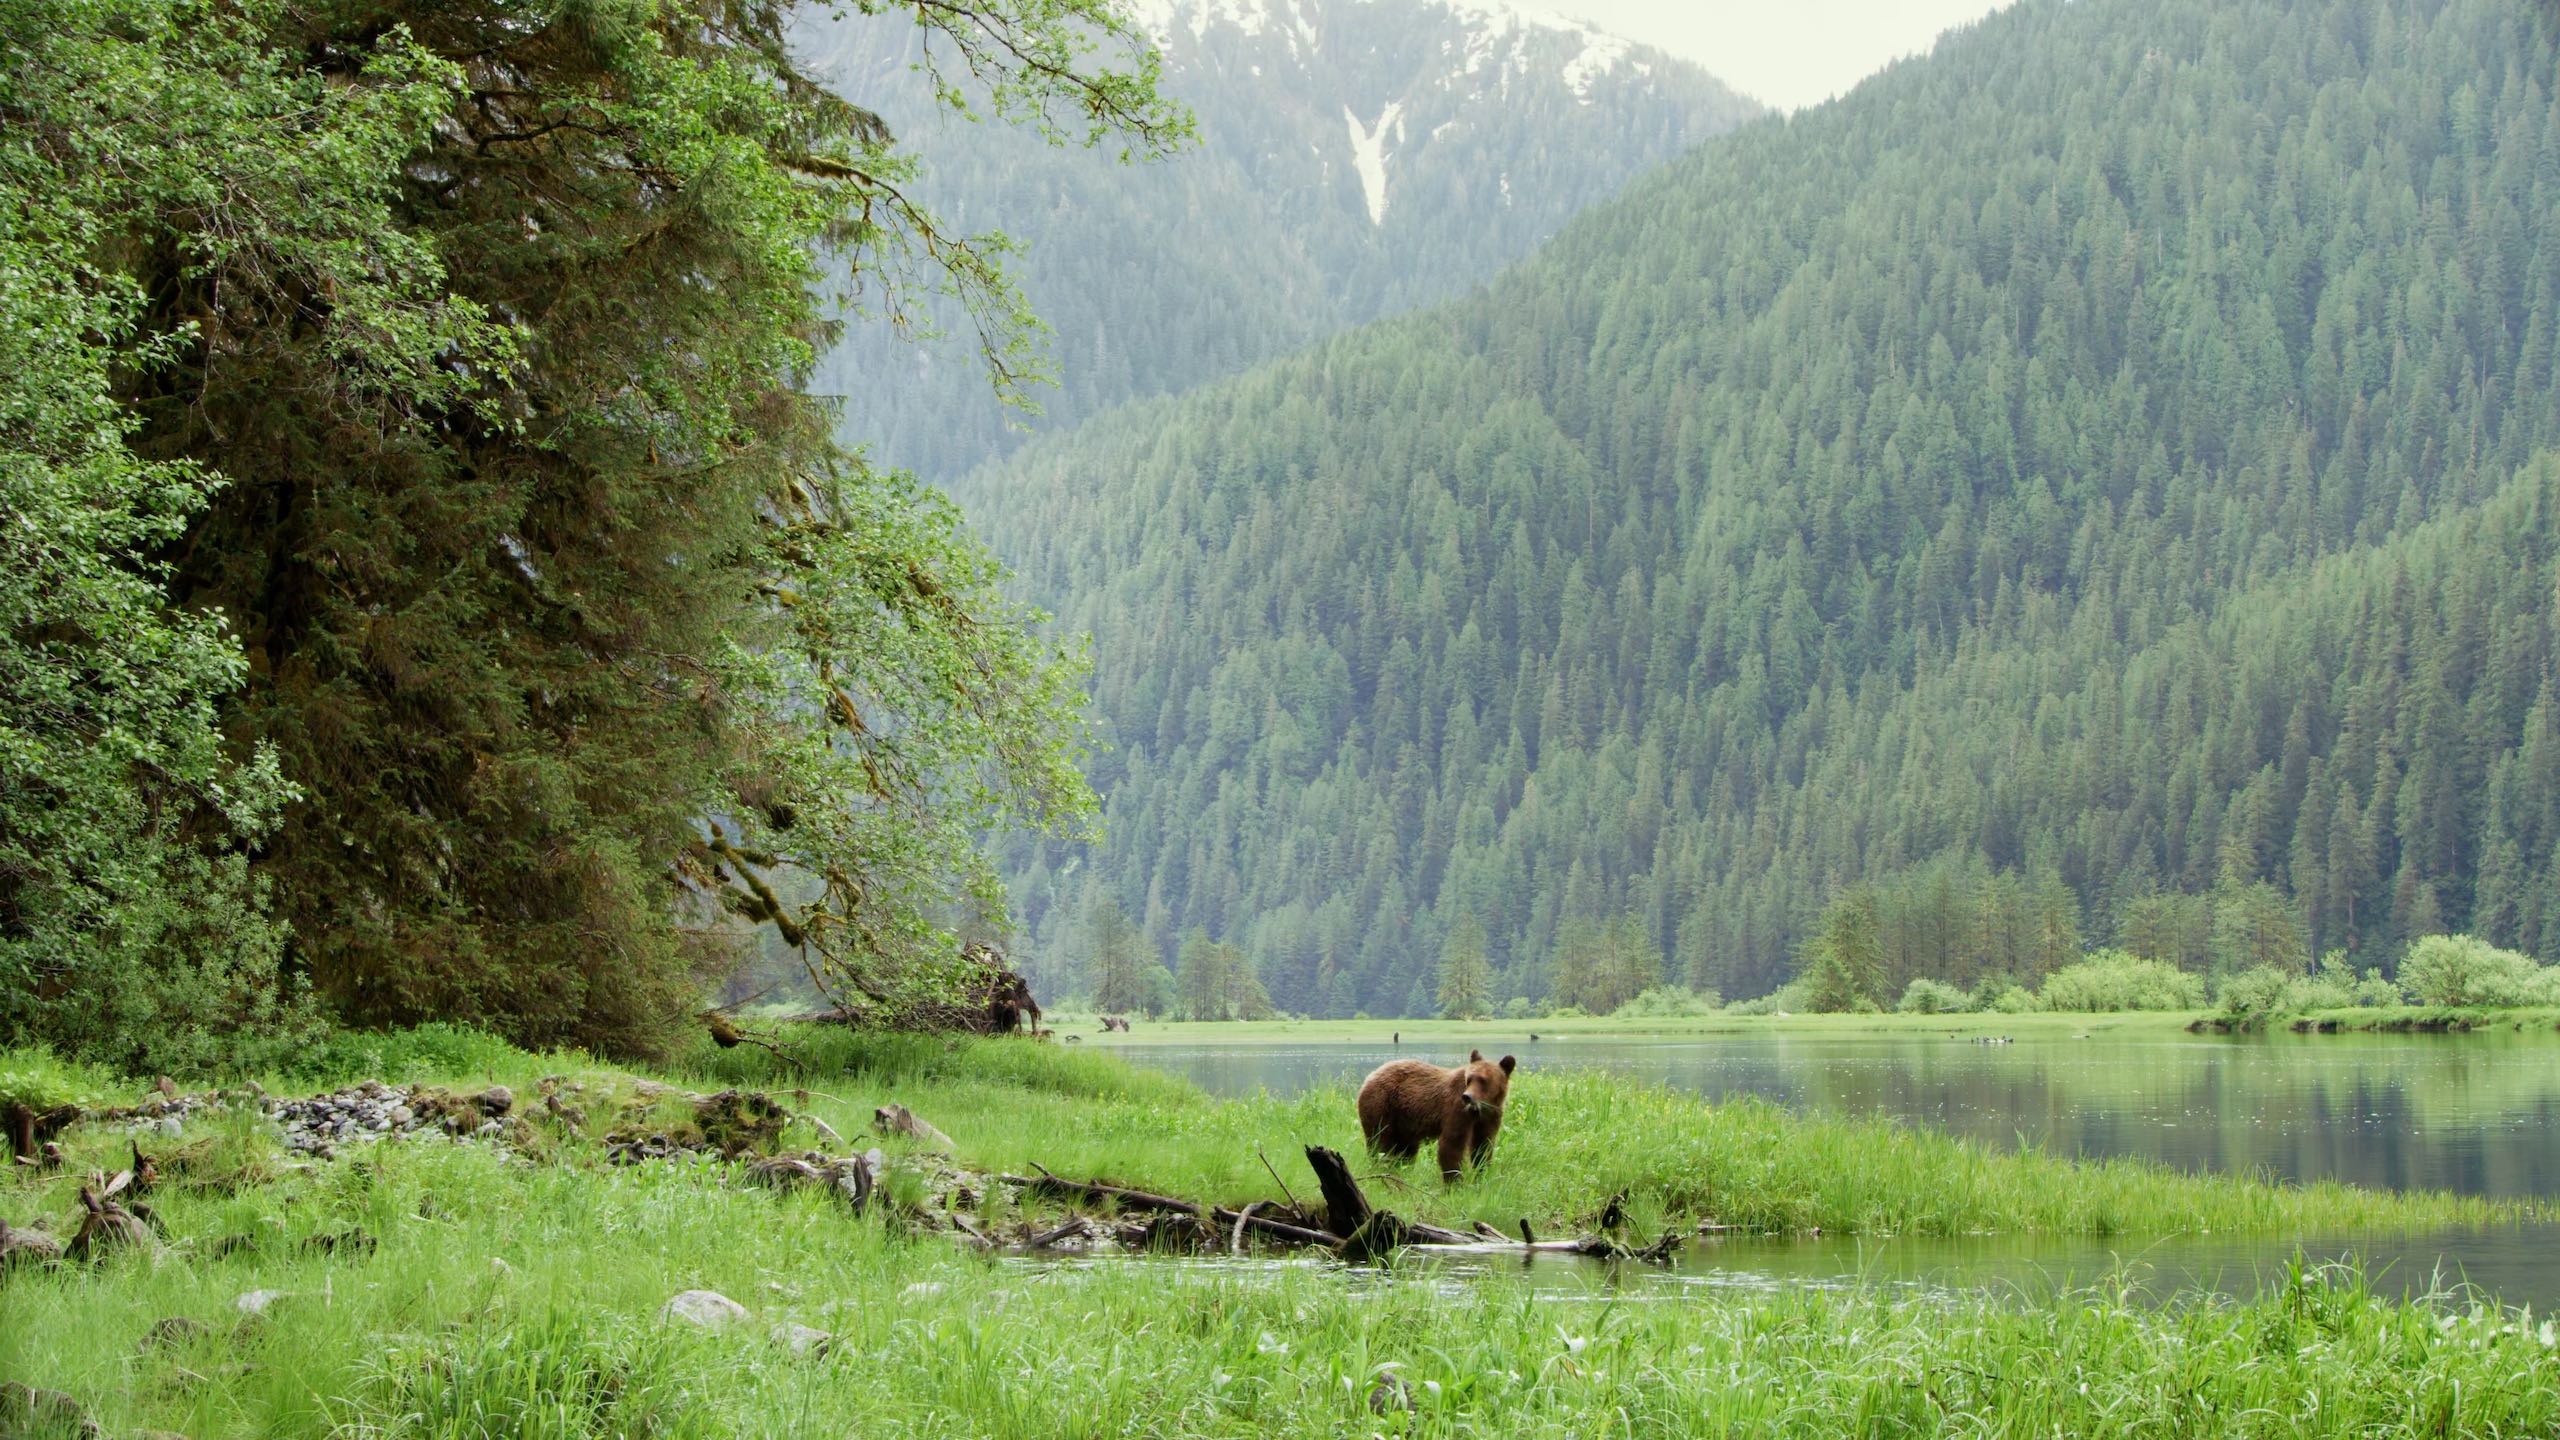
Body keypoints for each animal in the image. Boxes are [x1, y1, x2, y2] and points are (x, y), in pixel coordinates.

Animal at [1355, 1049, 1515, 1182]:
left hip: (1405, 1121)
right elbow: (1451, 1144)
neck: (1481, 1108)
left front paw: (1481, 1177)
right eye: (1469, 1079)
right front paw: (1455, 1183)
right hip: (1382, 1104)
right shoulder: (1457, 1110)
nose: (1467, 1097)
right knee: (1380, 1141)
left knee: (1406, 1149)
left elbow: (1483, 1146)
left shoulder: (1491, 1116)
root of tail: (1371, 1075)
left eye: (1483, 1080)